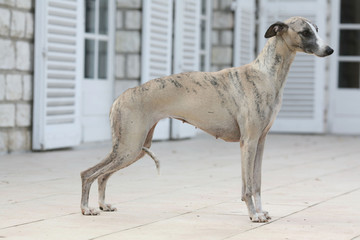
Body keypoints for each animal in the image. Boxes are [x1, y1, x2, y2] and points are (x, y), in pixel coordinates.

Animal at [80, 16, 334, 222]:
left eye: (317, 29)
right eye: (305, 32)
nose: (330, 50)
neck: (265, 74)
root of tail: (120, 97)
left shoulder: (260, 142)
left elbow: (258, 182)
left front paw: (262, 212)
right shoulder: (248, 142)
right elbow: (248, 186)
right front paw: (253, 215)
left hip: (135, 147)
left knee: (101, 175)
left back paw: (102, 205)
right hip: (130, 147)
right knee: (88, 173)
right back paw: (86, 208)